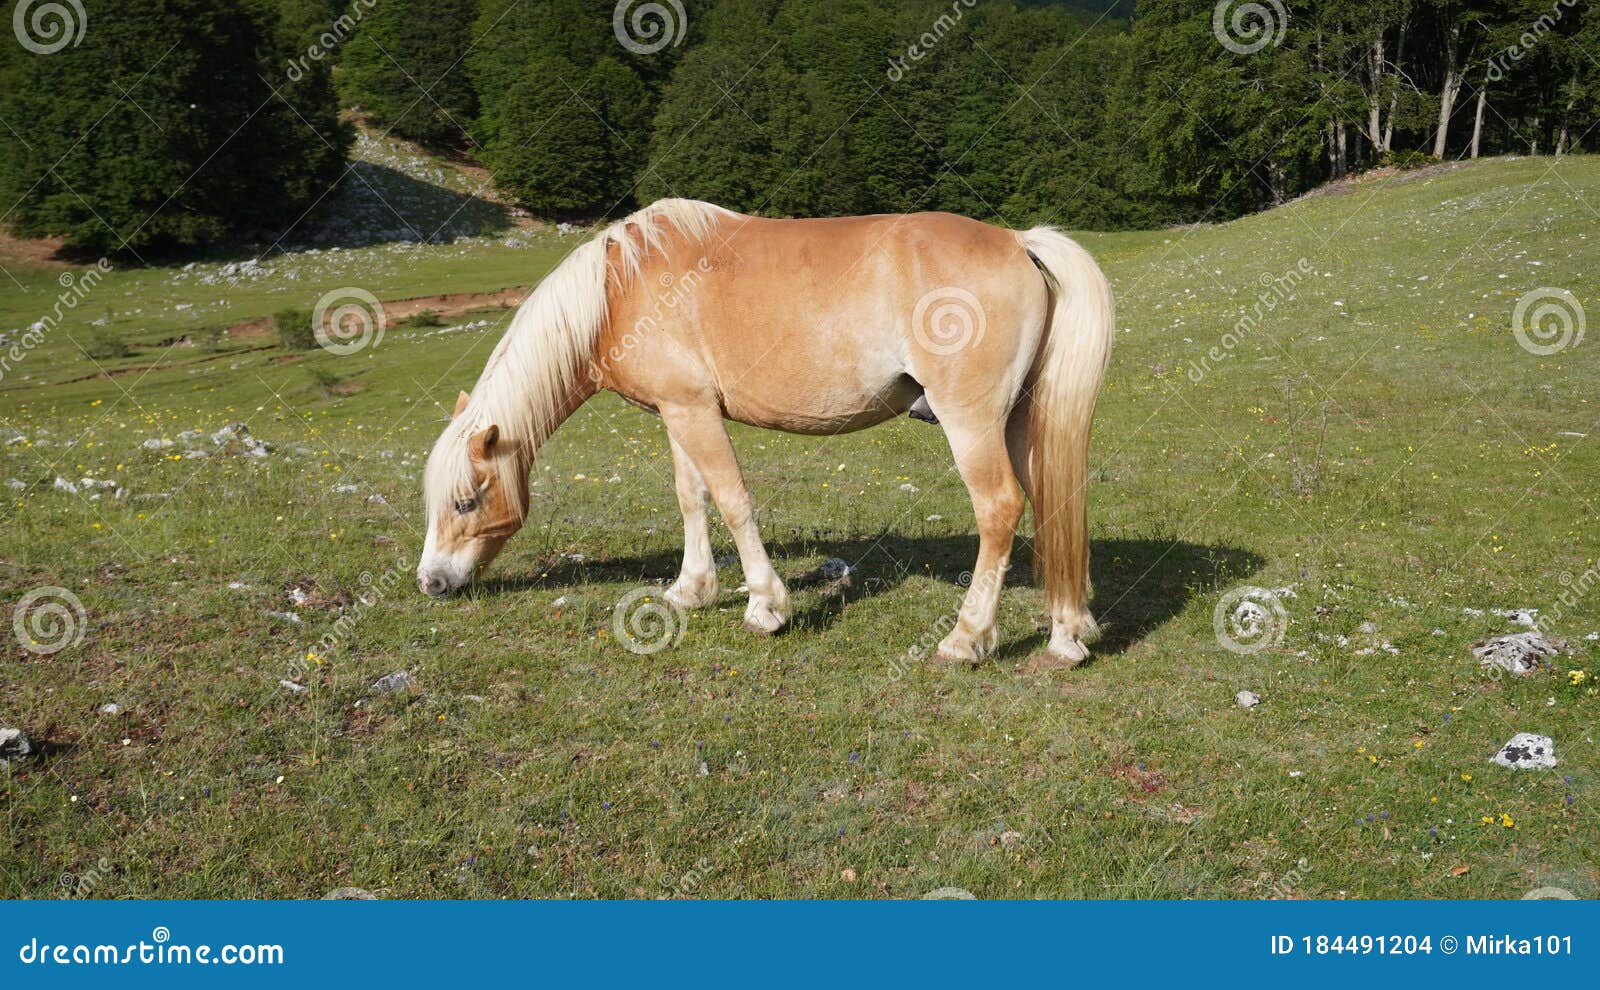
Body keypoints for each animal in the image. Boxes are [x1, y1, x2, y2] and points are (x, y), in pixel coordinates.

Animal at [412, 198, 1113, 668]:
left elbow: (731, 500)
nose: (431, 583)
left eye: (466, 501)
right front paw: (691, 590)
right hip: (1018, 423)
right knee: (1052, 506)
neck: (619, 291)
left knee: (1000, 510)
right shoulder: (679, 412)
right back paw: (1065, 637)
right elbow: (691, 497)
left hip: (971, 426)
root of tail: (1018, 241)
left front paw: (765, 607)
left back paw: (966, 639)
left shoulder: (695, 413)